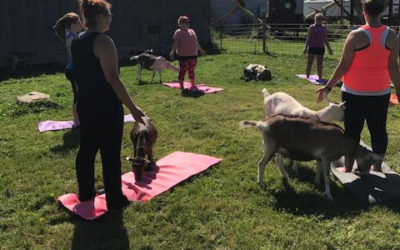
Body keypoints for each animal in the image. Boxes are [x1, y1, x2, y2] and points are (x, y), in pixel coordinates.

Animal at [241, 114, 382, 201]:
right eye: (370, 162)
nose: (365, 174)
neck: (343, 141)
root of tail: (263, 124)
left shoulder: (320, 157)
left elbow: (318, 170)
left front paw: (316, 182)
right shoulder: (326, 157)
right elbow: (326, 176)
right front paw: (329, 195)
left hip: (279, 148)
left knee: (278, 161)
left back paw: (286, 177)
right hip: (270, 147)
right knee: (261, 163)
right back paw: (261, 183)